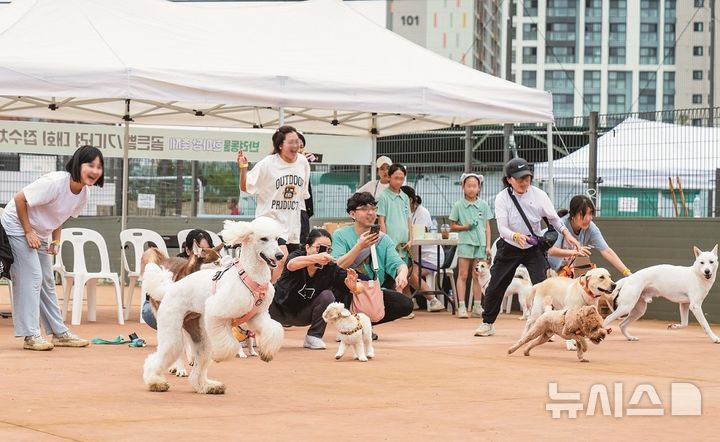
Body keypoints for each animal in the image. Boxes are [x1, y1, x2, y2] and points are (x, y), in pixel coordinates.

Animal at [142, 218, 286, 394]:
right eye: (263, 239)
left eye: (277, 239)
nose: (279, 255)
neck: (249, 276)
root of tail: (169, 288)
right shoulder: (217, 312)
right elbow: (230, 345)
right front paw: (219, 356)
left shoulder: (257, 316)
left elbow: (274, 328)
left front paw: (266, 353)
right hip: (173, 331)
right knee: (160, 356)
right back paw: (155, 382)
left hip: (198, 334)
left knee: (198, 368)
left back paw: (207, 386)